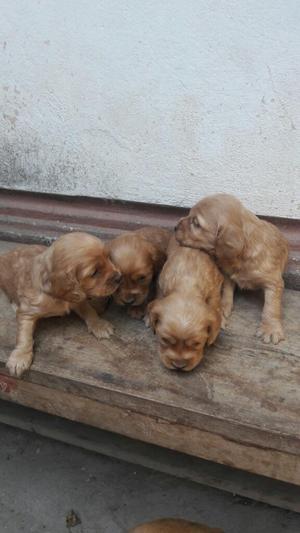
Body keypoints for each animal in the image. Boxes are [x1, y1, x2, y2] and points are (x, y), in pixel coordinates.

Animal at [0, 231, 122, 376]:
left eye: (108, 257)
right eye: (94, 272)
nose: (119, 277)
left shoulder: (77, 299)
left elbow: (89, 310)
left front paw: (99, 325)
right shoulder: (27, 311)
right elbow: (24, 336)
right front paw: (20, 357)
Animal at [147, 236, 223, 370]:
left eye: (197, 343)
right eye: (164, 340)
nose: (179, 365)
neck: (187, 283)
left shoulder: (214, 288)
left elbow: (215, 305)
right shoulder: (162, 283)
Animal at [176, 193, 288, 342]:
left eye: (196, 223)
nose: (174, 227)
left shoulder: (274, 282)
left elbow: (271, 307)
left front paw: (270, 329)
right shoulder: (227, 273)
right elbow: (227, 290)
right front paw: (223, 307)